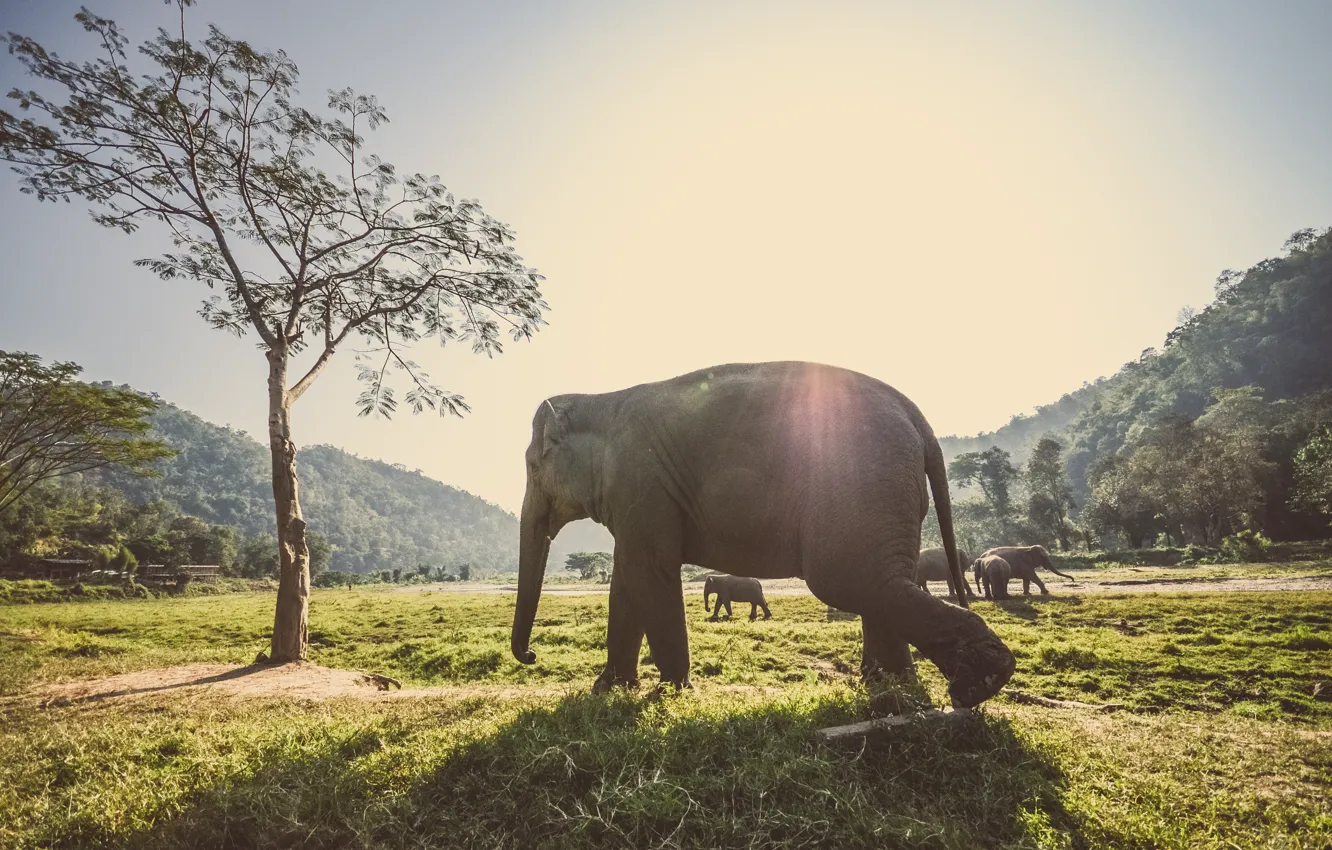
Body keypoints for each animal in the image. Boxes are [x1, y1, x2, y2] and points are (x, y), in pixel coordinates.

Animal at [510, 361, 1016, 709]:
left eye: (532, 465)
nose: (531, 655)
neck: (601, 399)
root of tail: (918, 418)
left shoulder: (642, 486)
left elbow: (650, 572)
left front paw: (672, 691)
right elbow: (628, 581)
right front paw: (609, 689)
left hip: (865, 484)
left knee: (850, 579)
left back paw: (977, 683)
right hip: (893, 495)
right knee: (884, 580)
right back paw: (890, 690)